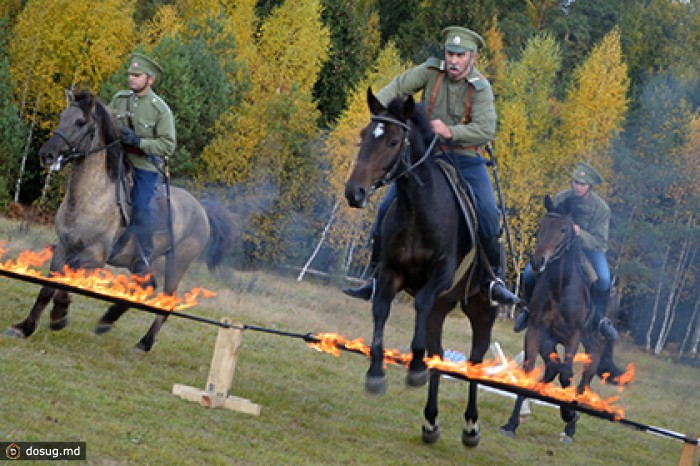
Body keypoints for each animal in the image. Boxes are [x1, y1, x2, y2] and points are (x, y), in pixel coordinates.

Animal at [2, 89, 238, 352]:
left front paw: (59, 315)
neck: (91, 197)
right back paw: (108, 320)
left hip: (177, 263)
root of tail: (202, 209)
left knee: (165, 301)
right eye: (62, 116)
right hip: (141, 262)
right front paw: (25, 327)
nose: (47, 154)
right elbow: (47, 288)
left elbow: (65, 284)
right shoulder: (63, 247)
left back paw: (144, 343)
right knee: (146, 286)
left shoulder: (94, 256)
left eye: (80, 122)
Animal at [344, 88, 498, 448]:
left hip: (480, 306)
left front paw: (414, 366)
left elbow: (420, 303)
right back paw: (430, 422)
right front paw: (376, 373)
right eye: (364, 135)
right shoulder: (389, 272)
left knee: (475, 359)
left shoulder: (440, 275)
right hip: (443, 309)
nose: (354, 193)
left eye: (393, 141)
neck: (418, 207)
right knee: (439, 354)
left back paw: (471, 426)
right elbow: (380, 309)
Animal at [498, 195, 608, 442]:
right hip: (551, 341)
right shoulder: (536, 332)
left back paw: (571, 425)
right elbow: (529, 371)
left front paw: (569, 415)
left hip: (591, 339)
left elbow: (567, 375)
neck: (561, 287)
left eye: (563, 229)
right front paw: (511, 424)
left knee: (586, 372)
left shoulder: (573, 336)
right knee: (551, 369)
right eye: (541, 226)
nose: (538, 261)